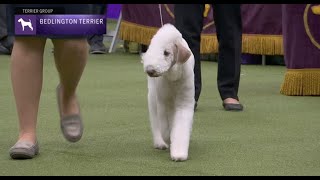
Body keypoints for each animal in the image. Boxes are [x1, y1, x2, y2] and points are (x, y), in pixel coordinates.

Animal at [142, 23, 195, 162]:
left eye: (166, 53)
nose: (150, 70)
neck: (173, 78)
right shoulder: (163, 102)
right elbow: (165, 127)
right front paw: (167, 138)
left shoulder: (184, 102)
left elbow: (180, 127)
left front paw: (179, 154)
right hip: (153, 97)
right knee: (155, 121)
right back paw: (160, 143)